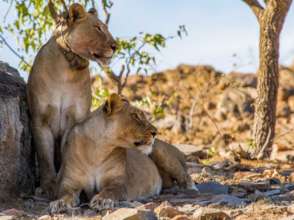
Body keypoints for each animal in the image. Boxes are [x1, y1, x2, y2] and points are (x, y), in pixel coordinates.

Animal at [26, 2, 116, 198]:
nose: (116, 46)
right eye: (98, 28)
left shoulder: (75, 120)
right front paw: (47, 186)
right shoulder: (40, 119)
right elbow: (44, 156)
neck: (68, 70)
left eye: (106, 28)